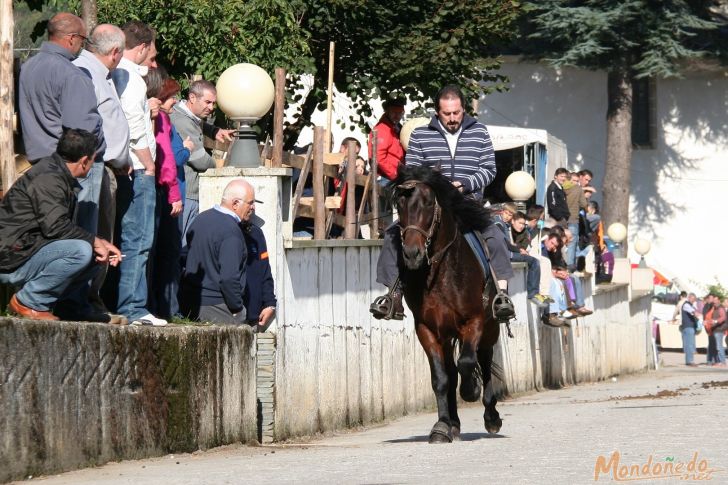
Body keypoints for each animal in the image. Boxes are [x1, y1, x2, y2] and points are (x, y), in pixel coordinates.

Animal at [392, 165, 500, 442]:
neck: (441, 271)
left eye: (429, 203)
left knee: (484, 360)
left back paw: (491, 416)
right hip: (446, 334)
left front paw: (471, 390)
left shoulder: (474, 321)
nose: (412, 254)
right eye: (399, 203)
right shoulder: (427, 329)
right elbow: (440, 378)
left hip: (490, 326)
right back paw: (454, 423)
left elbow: (468, 362)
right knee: (451, 371)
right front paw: (441, 426)